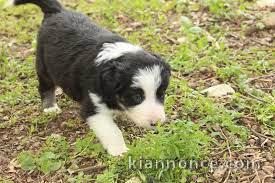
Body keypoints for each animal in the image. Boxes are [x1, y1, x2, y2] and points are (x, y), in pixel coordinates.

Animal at [5, 0, 170, 156]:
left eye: (161, 94)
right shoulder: (93, 107)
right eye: (137, 97)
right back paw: (50, 107)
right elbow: (112, 131)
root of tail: (58, 11)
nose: (157, 123)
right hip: (44, 66)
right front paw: (120, 151)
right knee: (46, 87)